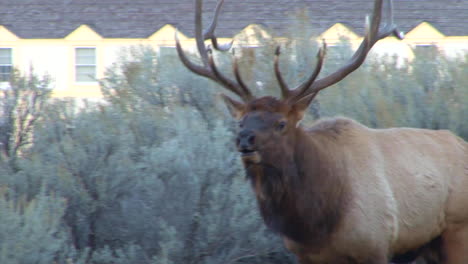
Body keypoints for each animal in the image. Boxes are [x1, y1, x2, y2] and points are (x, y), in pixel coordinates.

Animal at [175, 1, 468, 262]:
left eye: (281, 123)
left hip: (457, 228)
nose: (245, 138)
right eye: (240, 121)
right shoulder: (304, 254)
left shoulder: (376, 245)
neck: (316, 225)